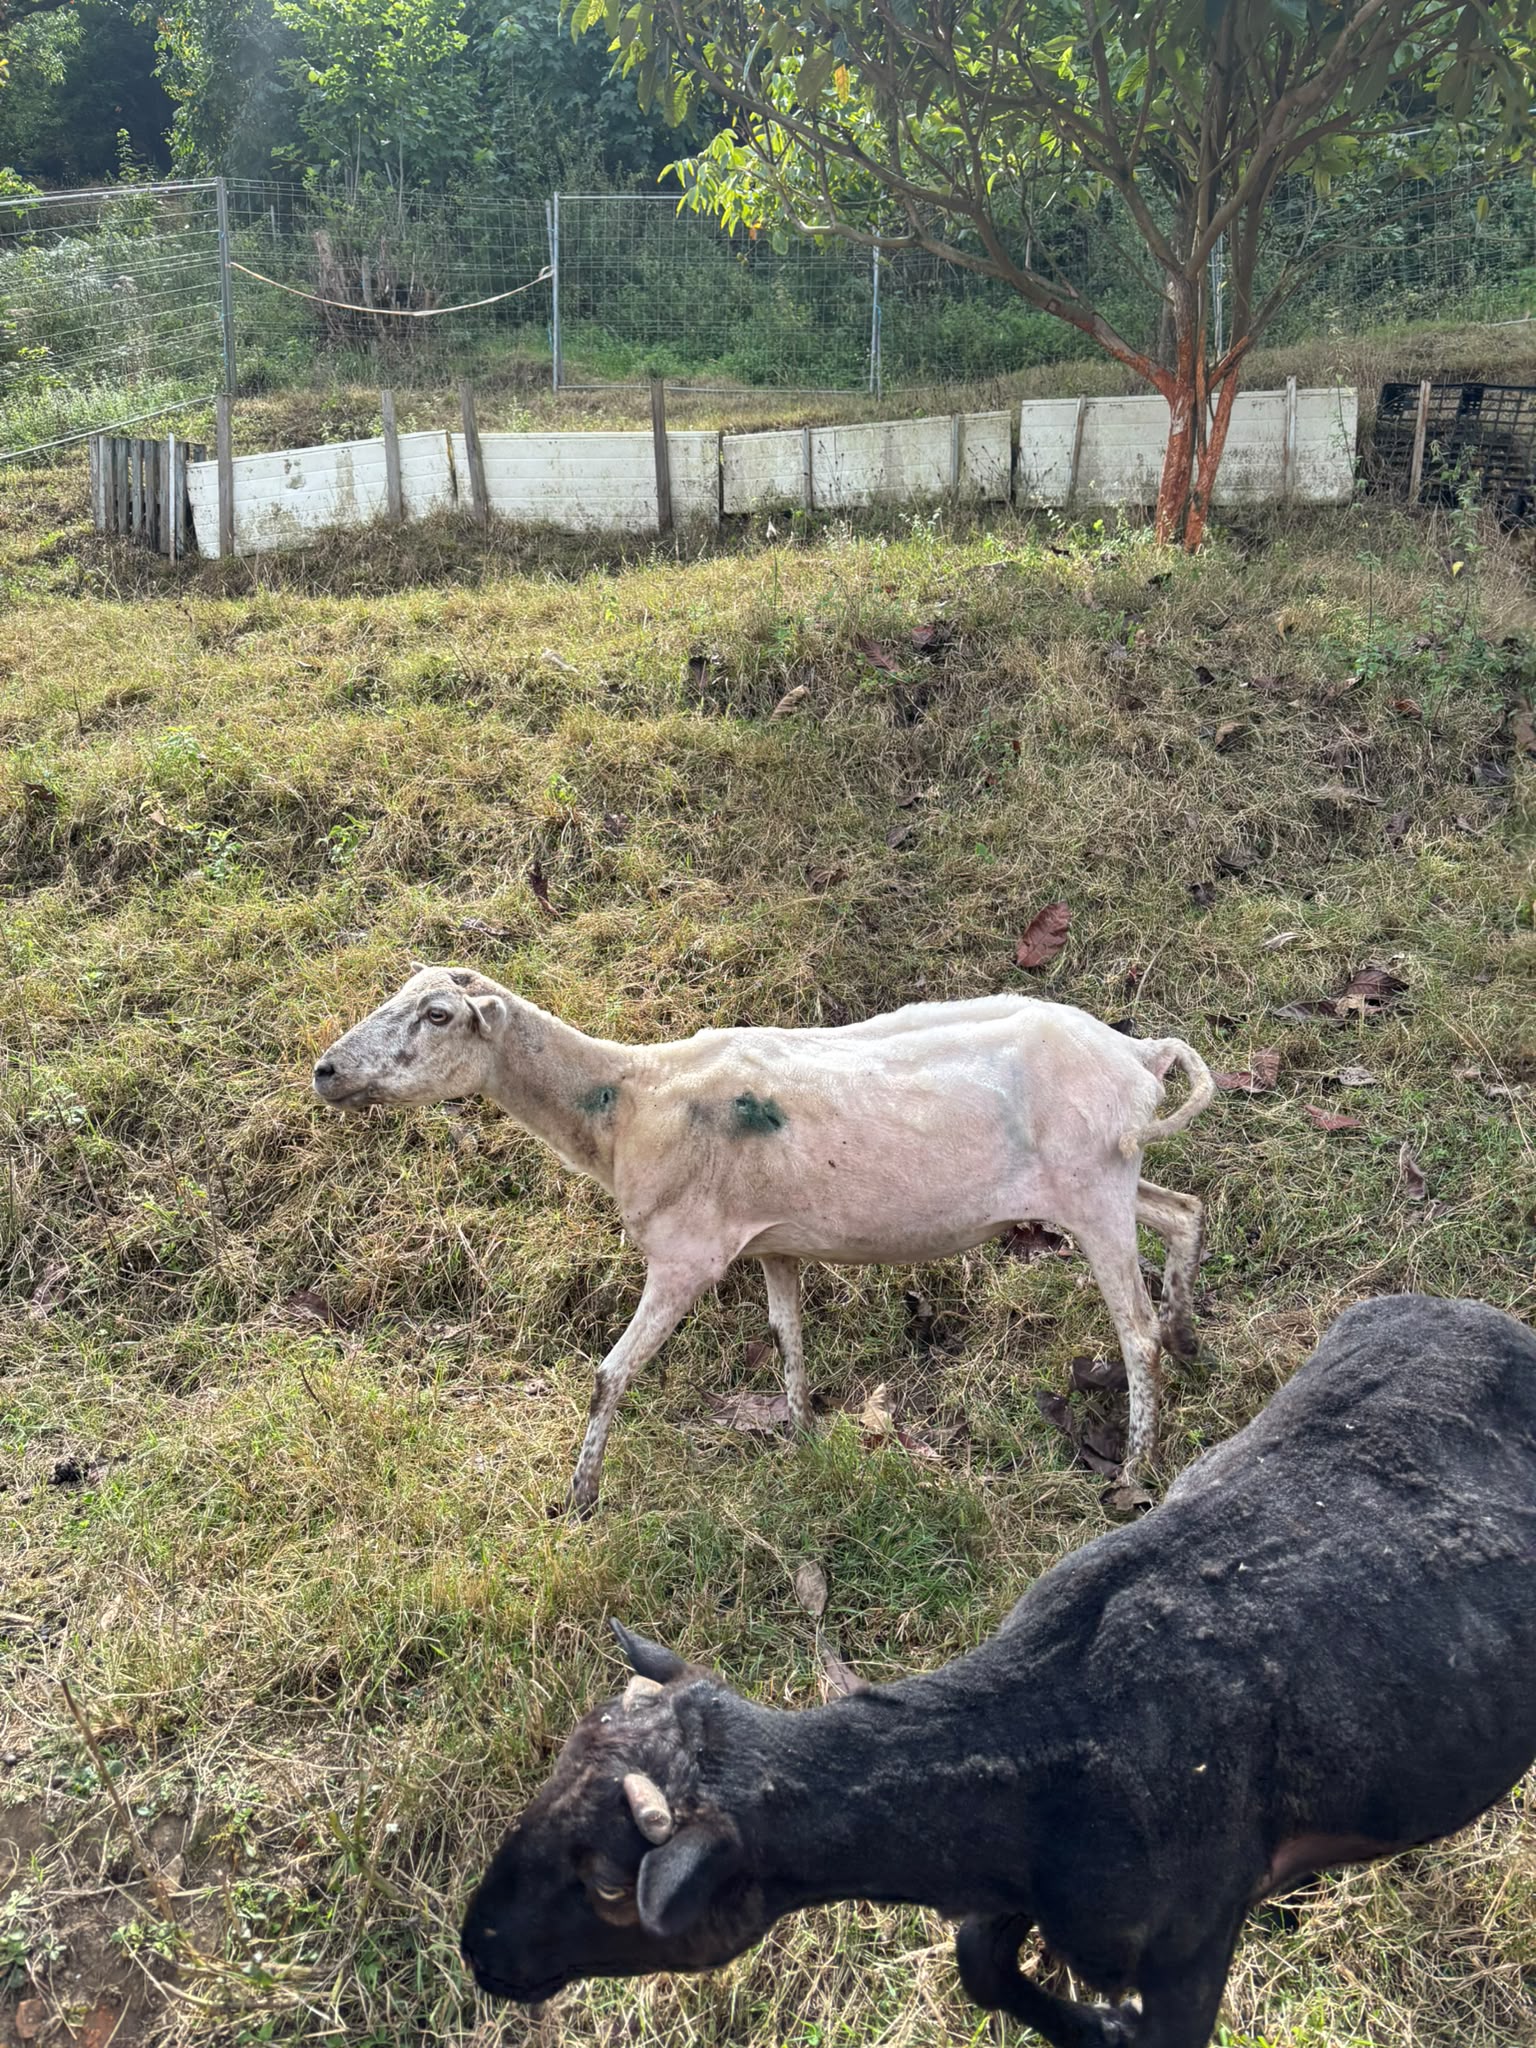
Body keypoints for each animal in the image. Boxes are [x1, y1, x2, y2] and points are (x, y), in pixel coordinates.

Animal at [313, 965, 1213, 1510]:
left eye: (437, 1015)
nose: (325, 1071)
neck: (626, 1099)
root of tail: (1139, 1053)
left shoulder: (687, 1255)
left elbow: (608, 1377)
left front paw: (578, 1499)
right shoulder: (775, 1242)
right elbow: (788, 1338)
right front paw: (802, 1441)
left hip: (1091, 1188)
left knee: (1134, 1332)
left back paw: (1135, 1467)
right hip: (1111, 1175)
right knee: (1184, 1210)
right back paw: (1189, 1335)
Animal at [459, 1295, 1536, 2047]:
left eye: (609, 1885)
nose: (479, 1947)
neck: (1048, 1750)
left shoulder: (1190, 1935)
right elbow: (980, 1962)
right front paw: (1086, 2024)